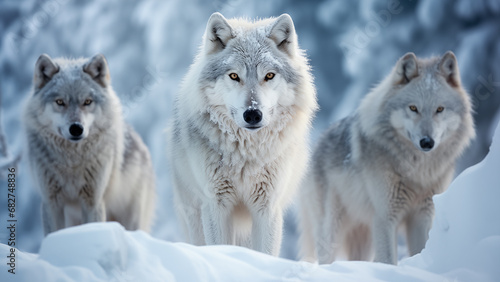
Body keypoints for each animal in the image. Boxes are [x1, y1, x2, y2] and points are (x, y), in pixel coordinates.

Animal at [23, 54, 155, 235]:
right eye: (60, 102)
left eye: (87, 101)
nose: (76, 128)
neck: (71, 163)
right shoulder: (51, 202)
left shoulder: (93, 201)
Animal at [168, 12, 316, 256]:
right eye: (234, 76)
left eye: (269, 75)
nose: (253, 114)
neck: (246, 155)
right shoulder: (216, 205)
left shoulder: (267, 207)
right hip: (194, 216)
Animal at [298, 51, 474, 264]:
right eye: (413, 108)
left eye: (440, 109)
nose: (427, 142)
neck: (418, 172)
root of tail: (319, 142)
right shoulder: (385, 217)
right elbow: (389, 260)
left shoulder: (422, 216)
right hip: (333, 228)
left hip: (363, 238)